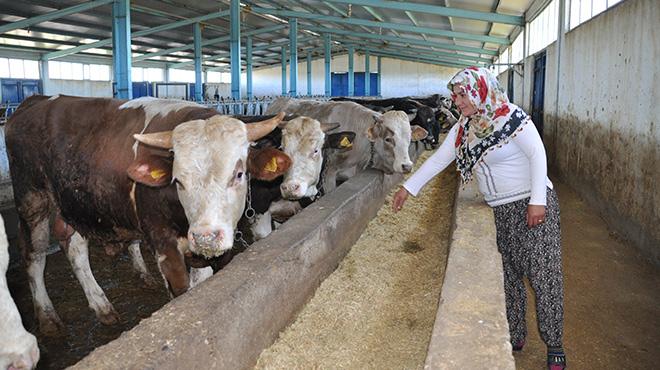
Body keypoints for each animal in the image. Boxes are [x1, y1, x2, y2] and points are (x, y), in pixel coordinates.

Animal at [5, 95, 288, 336]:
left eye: (238, 174)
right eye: (178, 180)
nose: (206, 237)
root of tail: (35, 101)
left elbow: (200, 283)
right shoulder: (162, 241)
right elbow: (181, 289)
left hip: (75, 205)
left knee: (75, 249)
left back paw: (103, 307)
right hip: (32, 199)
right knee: (34, 255)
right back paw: (47, 317)